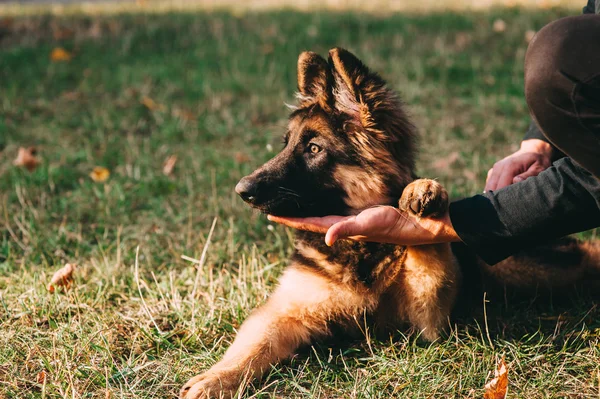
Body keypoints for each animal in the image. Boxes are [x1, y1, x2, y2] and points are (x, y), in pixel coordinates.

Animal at [179, 47, 600, 399]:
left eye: (313, 149)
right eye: (286, 145)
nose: (242, 190)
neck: (359, 249)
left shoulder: (429, 322)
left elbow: (428, 252)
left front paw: (423, 193)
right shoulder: (286, 313)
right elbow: (254, 344)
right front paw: (216, 378)